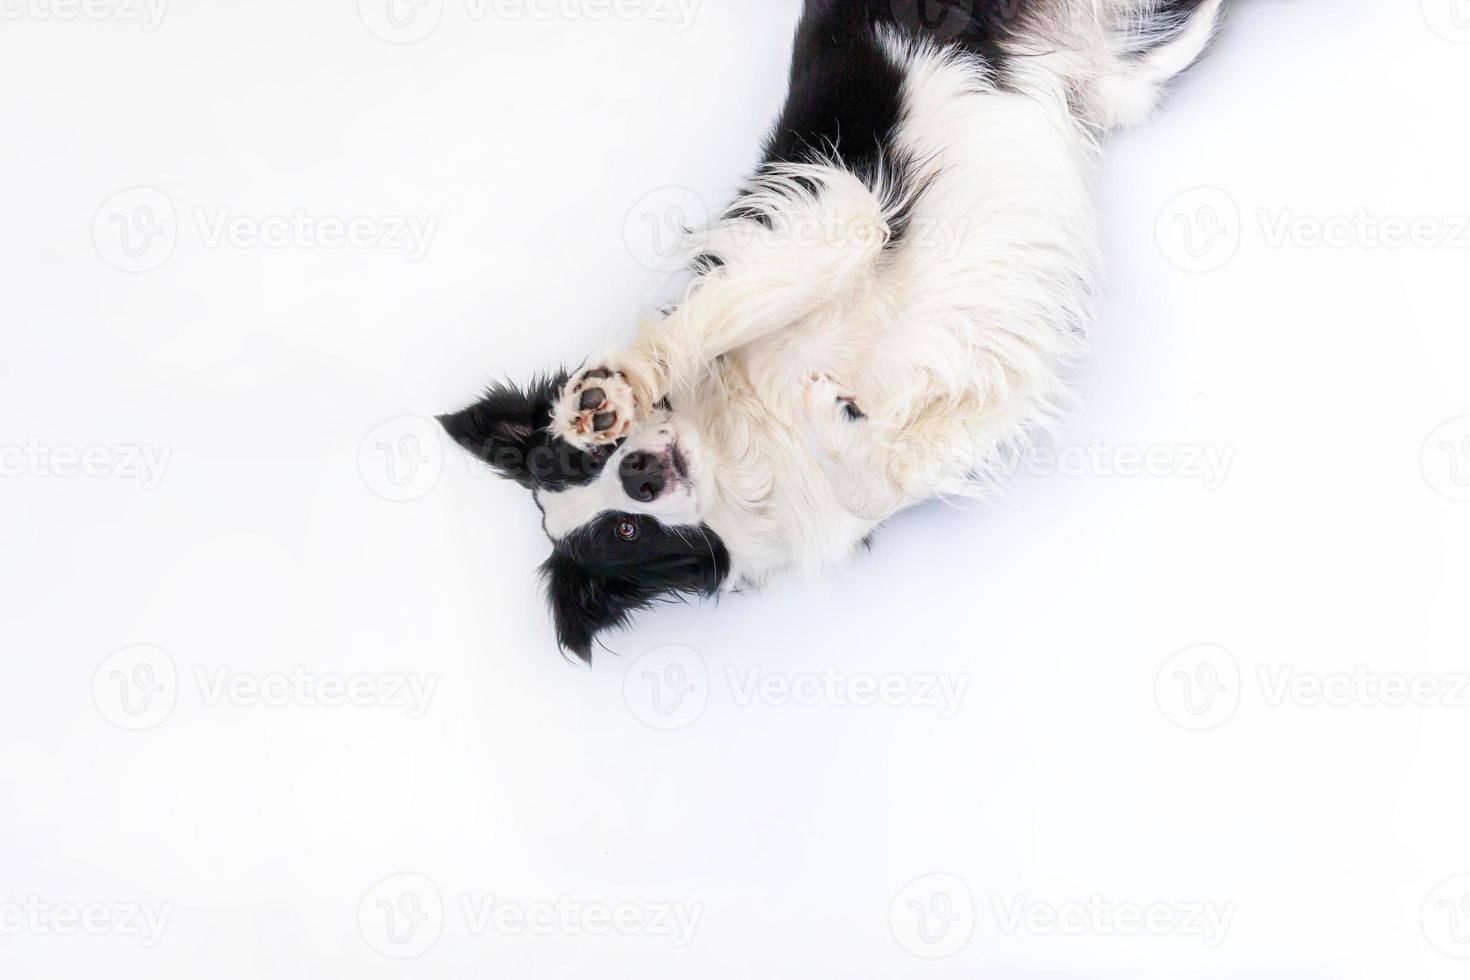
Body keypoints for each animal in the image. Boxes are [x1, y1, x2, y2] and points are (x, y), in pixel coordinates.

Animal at [441, 1, 1223, 658]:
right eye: (625, 533)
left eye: (589, 461)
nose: (638, 474)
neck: (746, 438)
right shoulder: (950, 426)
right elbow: (871, 480)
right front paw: (835, 421)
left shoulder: (839, 215)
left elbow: (718, 313)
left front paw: (615, 389)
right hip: (1136, 67)